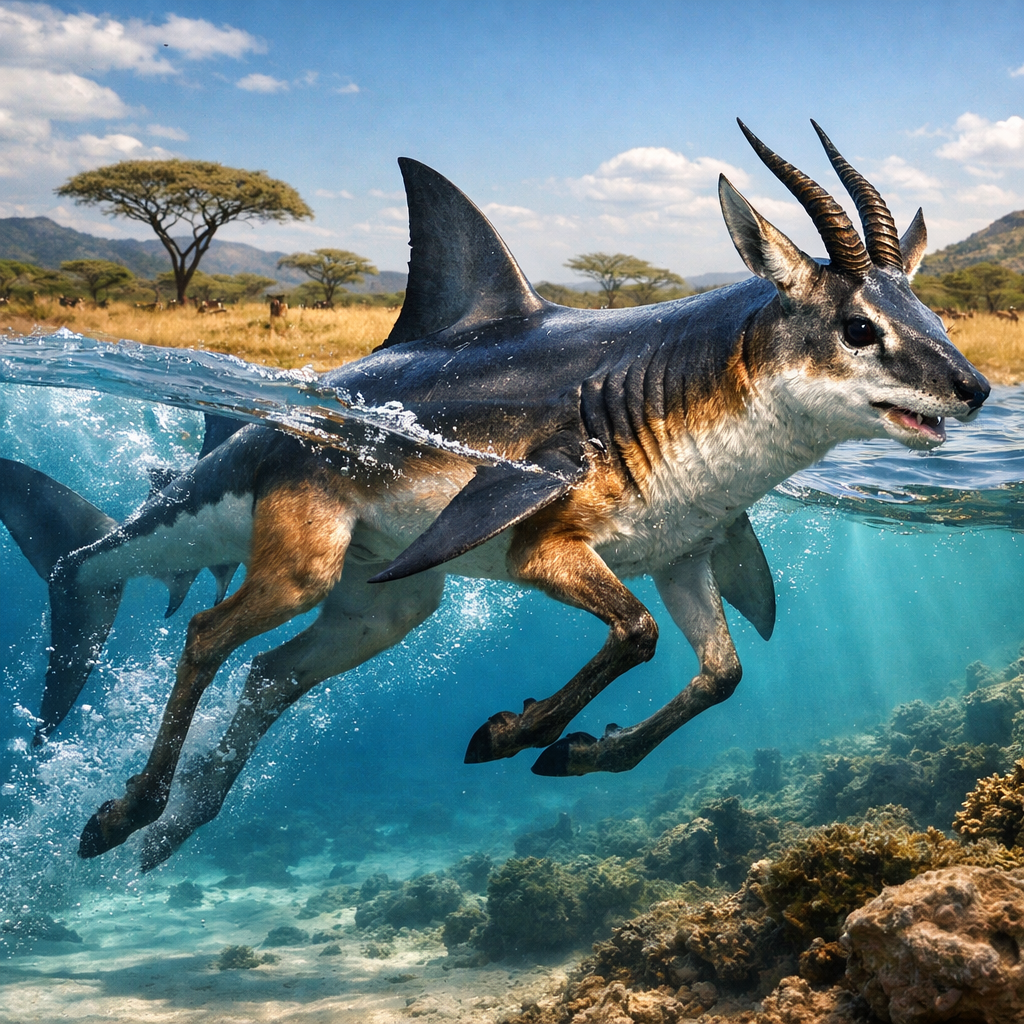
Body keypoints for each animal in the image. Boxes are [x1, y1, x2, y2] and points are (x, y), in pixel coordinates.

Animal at [0, 121, 989, 870]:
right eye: (859, 327)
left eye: (933, 316)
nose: (975, 388)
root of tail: (76, 560)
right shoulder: (539, 539)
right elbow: (636, 634)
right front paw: (515, 735)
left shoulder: (686, 554)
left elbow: (721, 672)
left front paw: (581, 752)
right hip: (308, 555)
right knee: (208, 633)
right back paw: (125, 813)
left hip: (387, 604)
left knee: (269, 670)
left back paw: (172, 829)